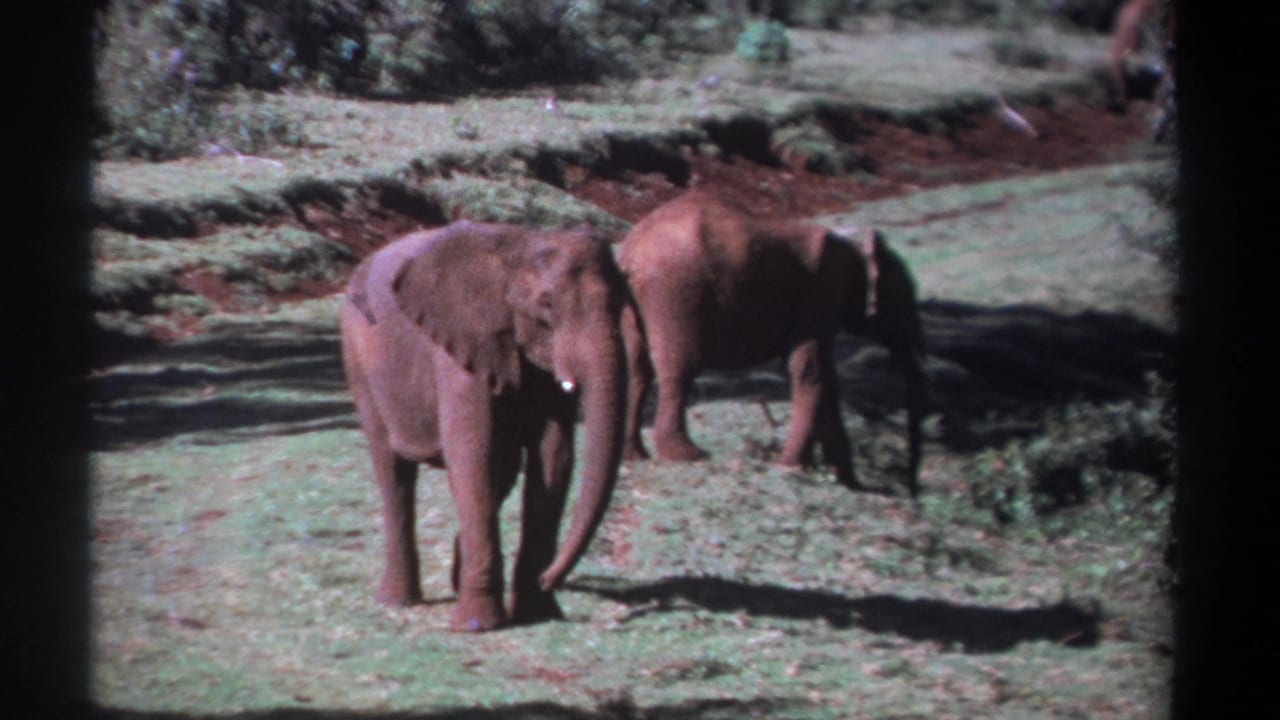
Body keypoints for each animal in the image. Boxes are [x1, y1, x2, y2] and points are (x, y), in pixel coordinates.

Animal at [340, 220, 628, 632]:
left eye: (621, 303)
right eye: (547, 305)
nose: (550, 578)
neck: (521, 246)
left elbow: (554, 456)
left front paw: (538, 612)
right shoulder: (457, 343)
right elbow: (472, 451)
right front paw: (477, 626)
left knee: (503, 468)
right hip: (358, 358)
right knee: (393, 471)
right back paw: (397, 601)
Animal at [619, 190, 927, 498]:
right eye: (903, 297)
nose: (912, 494)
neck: (850, 241)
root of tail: (632, 250)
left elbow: (826, 380)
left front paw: (847, 482)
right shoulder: (819, 297)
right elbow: (812, 372)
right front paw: (795, 467)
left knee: (638, 371)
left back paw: (636, 455)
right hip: (675, 293)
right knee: (679, 369)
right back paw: (688, 456)